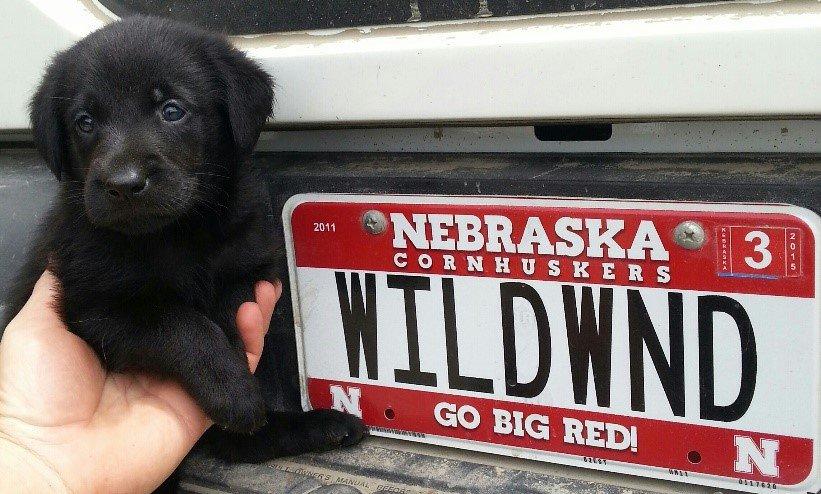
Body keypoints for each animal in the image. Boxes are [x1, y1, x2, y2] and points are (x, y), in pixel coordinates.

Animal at [0, 15, 366, 462]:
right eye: (84, 122)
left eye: (172, 110)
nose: (123, 184)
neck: (174, 234)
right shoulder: (94, 306)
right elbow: (180, 325)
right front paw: (233, 390)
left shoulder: (248, 261)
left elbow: (229, 303)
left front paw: (237, 356)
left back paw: (326, 427)